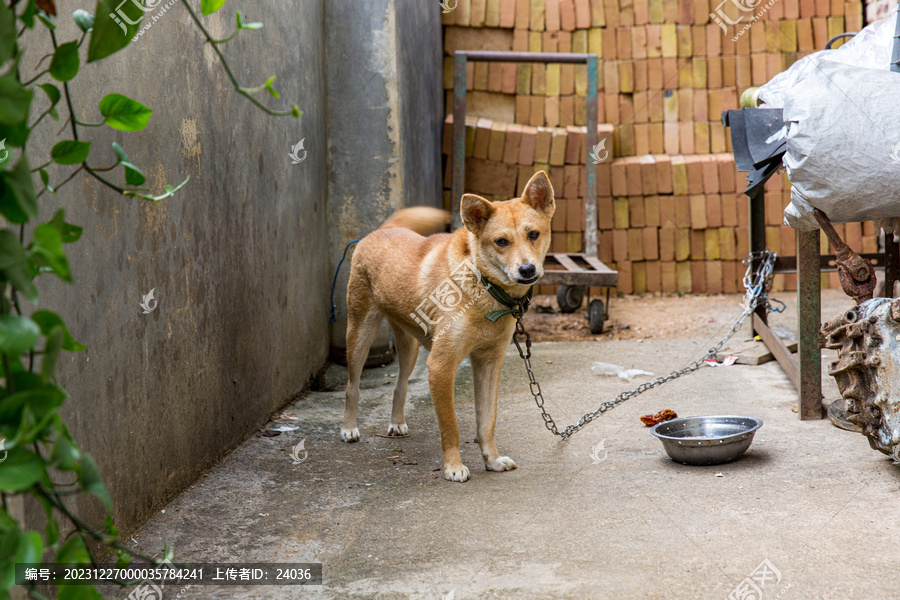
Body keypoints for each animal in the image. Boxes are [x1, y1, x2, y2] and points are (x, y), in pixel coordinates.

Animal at [342, 171, 556, 480]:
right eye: (501, 241)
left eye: (534, 234)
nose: (527, 270)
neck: (482, 286)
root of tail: (382, 230)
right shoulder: (441, 366)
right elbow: (450, 425)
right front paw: (454, 467)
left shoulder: (488, 363)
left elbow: (486, 421)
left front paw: (492, 460)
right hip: (359, 335)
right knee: (352, 385)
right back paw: (348, 428)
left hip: (410, 348)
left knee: (400, 385)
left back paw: (396, 423)